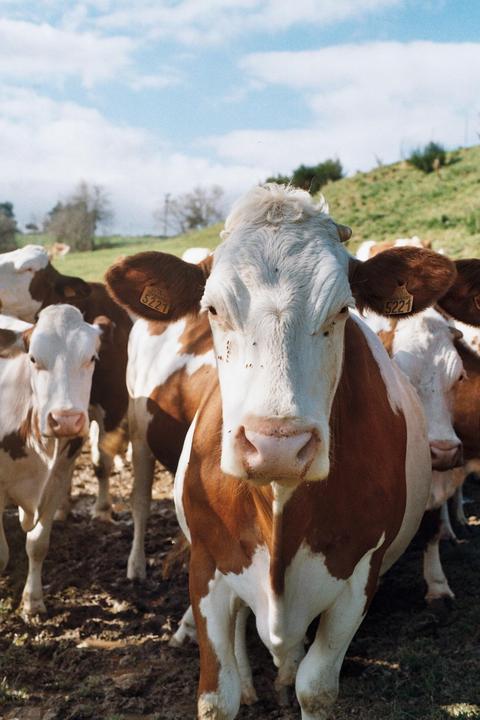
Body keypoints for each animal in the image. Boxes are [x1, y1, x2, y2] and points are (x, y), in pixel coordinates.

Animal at [0, 305, 107, 616]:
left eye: (92, 358)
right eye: (33, 358)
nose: (66, 420)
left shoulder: (57, 480)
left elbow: (37, 544)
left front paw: (33, 602)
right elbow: (1, 555)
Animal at [106, 184, 457, 719]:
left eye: (342, 310)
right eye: (212, 309)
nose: (277, 445)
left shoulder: (359, 575)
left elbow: (316, 688)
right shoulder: (208, 564)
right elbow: (217, 694)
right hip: (140, 435)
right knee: (144, 502)